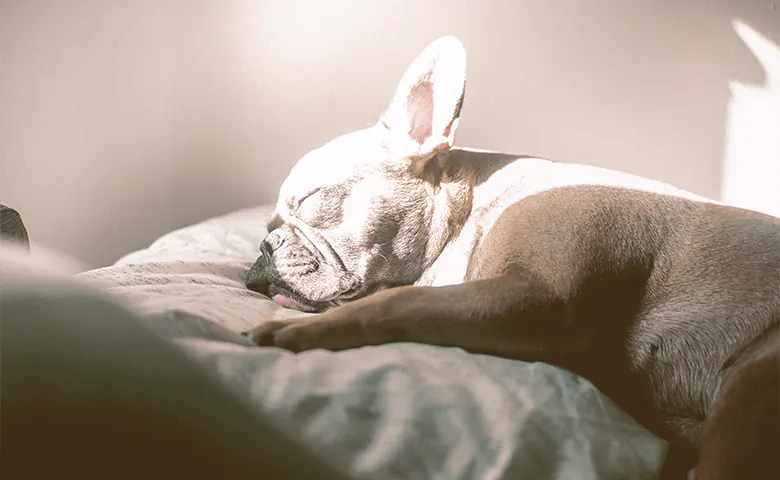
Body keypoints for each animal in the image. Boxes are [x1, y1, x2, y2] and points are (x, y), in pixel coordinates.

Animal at [244, 36, 780, 476]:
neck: (471, 208)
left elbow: (393, 303)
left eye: (312, 199)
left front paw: (300, 332)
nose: (265, 247)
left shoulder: (539, 298)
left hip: (753, 380)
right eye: (268, 226)